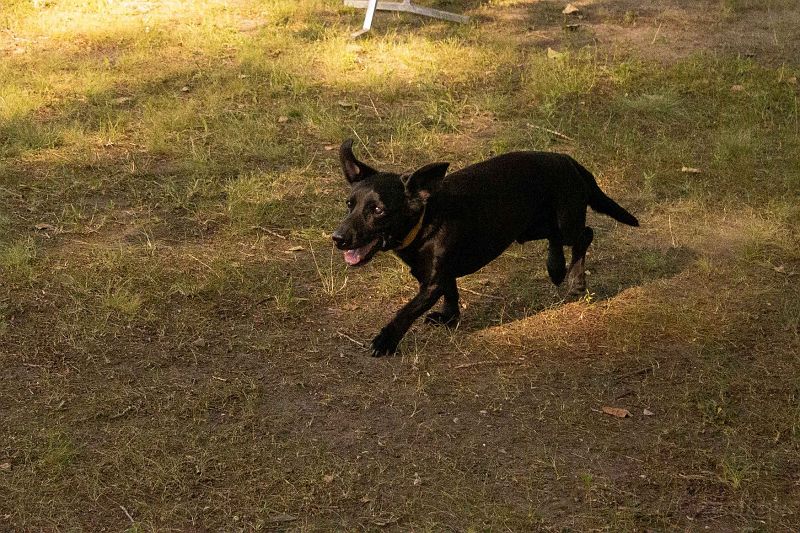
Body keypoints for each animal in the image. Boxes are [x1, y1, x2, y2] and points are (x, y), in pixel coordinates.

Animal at [332, 139, 639, 356]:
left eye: (378, 210)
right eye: (349, 204)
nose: (337, 238)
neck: (426, 218)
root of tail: (568, 160)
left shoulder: (432, 283)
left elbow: (406, 311)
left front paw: (385, 340)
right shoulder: (440, 276)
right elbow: (452, 294)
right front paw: (449, 318)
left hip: (566, 222)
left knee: (585, 235)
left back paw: (576, 282)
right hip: (531, 225)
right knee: (558, 240)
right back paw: (555, 267)